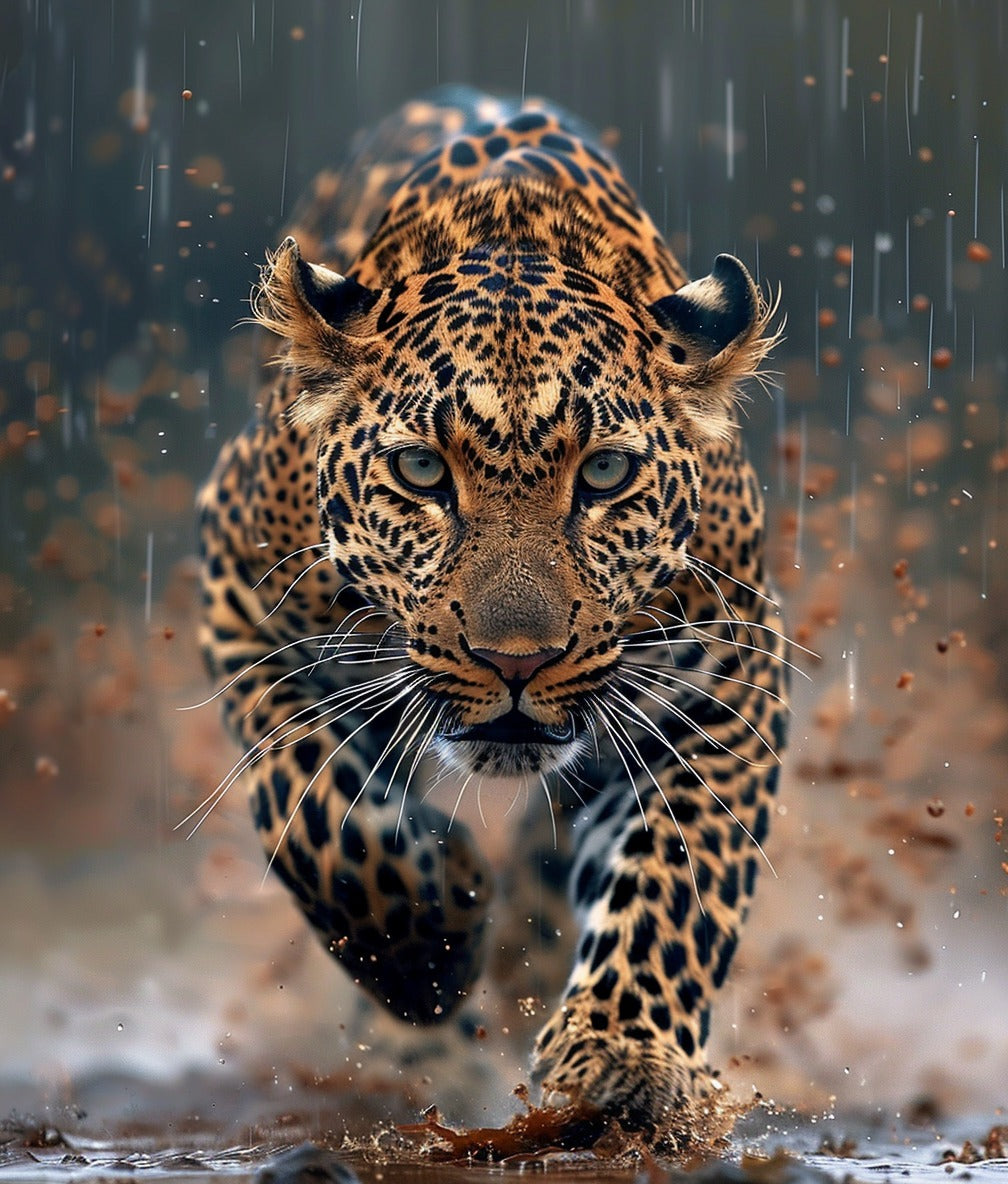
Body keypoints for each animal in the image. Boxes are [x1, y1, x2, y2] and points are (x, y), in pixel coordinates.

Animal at [197, 85, 788, 1135]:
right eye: (421, 471)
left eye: (606, 473)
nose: (517, 660)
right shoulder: (240, 601)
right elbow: (316, 809)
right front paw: (427, 953)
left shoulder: (727, 688)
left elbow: (678, 878)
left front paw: (626, 1057)